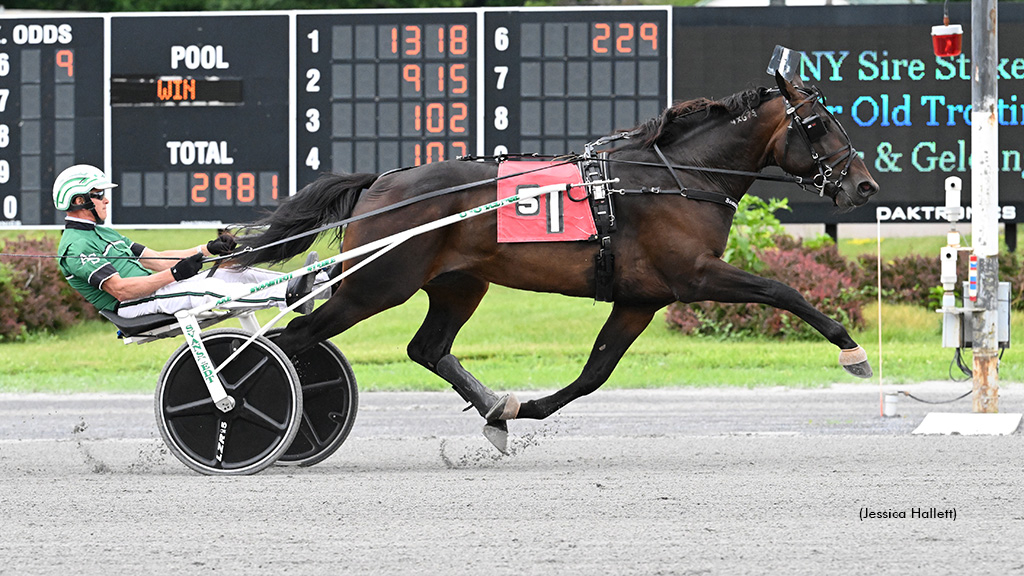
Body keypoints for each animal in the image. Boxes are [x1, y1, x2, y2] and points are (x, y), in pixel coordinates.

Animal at [232, 72, 880, 448]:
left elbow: (595, 372)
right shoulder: (694, 277)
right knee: (291, 339)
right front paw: (851, 349)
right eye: (817, 124)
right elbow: (783, 291)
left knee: (426, 348)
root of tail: (381, 181)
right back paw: (240, 408)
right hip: (375, 285)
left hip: (457, 284)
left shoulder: (640, 298)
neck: (678, 177)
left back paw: (493, 411)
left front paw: (523, 406)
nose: (865, 186)